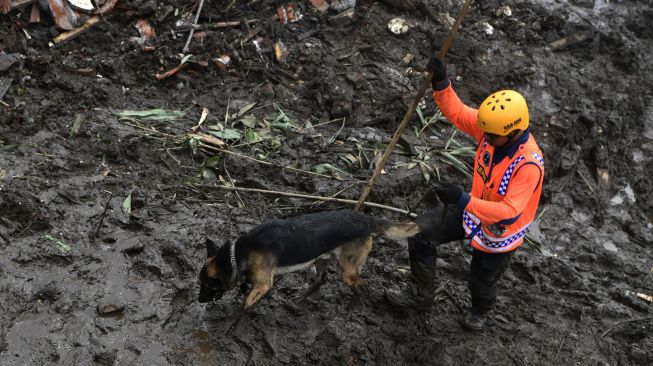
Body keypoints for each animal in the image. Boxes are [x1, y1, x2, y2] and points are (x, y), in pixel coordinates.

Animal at [196, 210, 418, 322]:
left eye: (207, 286)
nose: (199, 300)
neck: (237, 254)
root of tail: (367, 218)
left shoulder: (263, 284)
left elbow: (245, 304)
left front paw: (231, 322)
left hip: (346, 270)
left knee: (361, 289)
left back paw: (350, 311)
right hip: (321, 258)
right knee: (321, 279)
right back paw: (299, 298)